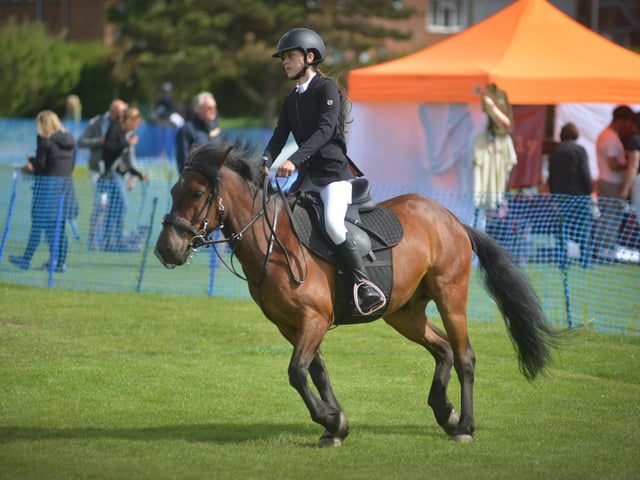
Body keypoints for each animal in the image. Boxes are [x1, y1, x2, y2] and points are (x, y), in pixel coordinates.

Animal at [154, 140, 557, 447]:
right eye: (172, 191)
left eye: (196, 193)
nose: (165, 250)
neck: (273, 240)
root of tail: (452, 219)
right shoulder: (291, 325)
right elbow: (317, 371)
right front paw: (336, 426)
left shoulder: (314, 318)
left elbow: (297, 372)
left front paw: (331, 421)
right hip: (404, 314)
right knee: (442, 348)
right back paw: (444, 411)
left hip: (450, 296)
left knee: (464, 356)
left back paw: (464, 427)